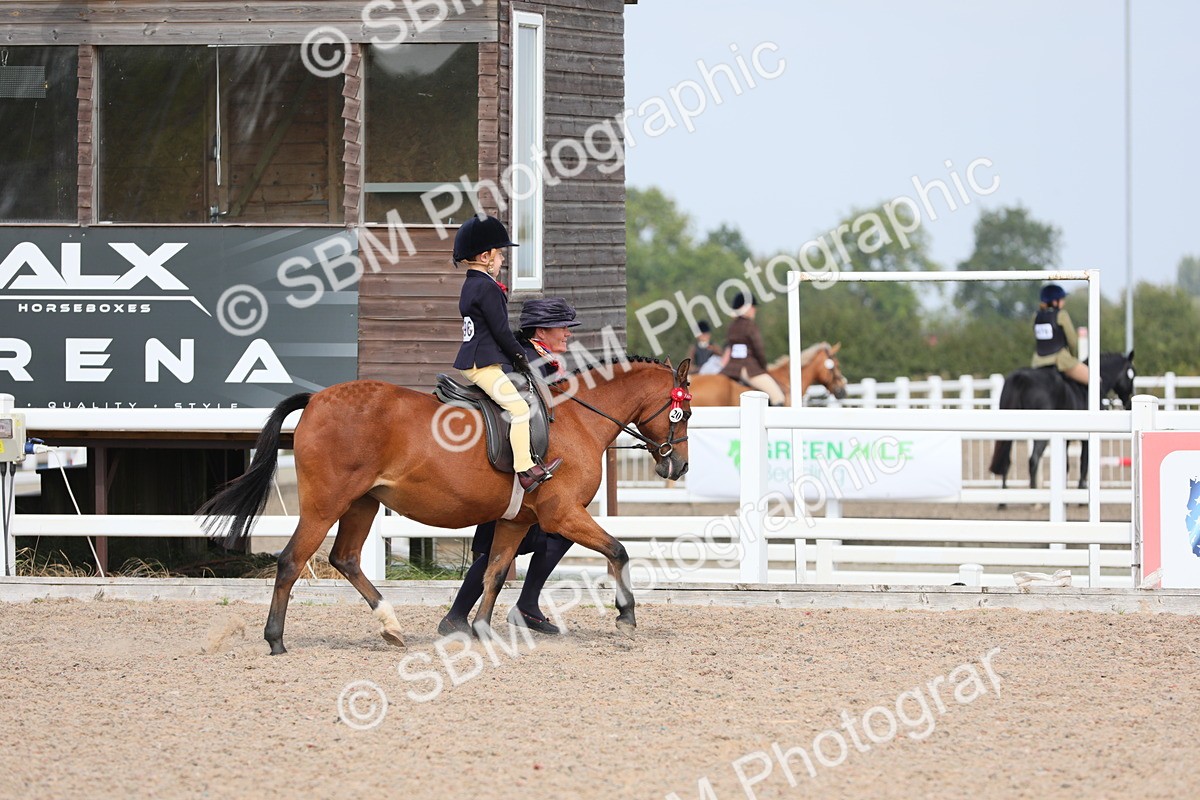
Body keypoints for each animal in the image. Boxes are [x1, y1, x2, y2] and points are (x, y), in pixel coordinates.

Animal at [199, 356, 693, 655]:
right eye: (683, 413)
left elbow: (495, 573)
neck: (576, 420)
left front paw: (482, 629)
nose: (679, 466)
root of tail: (317, 398)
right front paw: (626, 617)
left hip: (361, 503)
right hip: (326, 505)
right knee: (291, 562)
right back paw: (276, 641)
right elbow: (618, 551)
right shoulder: (563, 515)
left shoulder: (517, 521)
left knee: (346, 558)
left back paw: (391, 626)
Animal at [988, 351, 1136, 491]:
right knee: (1033, 460)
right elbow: (1083, 462)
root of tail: (1020, 378)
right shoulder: (1086, 438)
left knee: (1006, 460)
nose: (1129, 403)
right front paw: (1081, 488)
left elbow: (1066, 465)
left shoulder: (1067, 438)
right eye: (1132, 375)